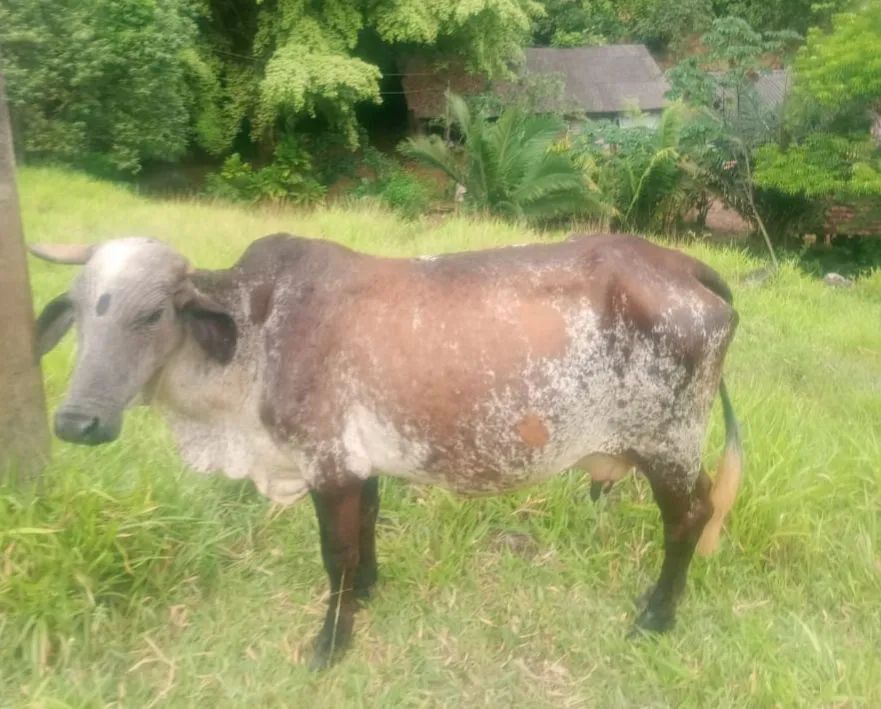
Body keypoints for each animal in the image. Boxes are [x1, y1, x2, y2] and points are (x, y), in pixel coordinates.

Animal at [31, 233, 742, 669]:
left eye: (153, 314)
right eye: (79, 311)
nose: (76, 420)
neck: (256, 335)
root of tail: (682, 265)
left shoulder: (327, 464)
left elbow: (336, 554)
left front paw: (330, 641)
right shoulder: (359, 464)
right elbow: (365, 532)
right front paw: (366, 595)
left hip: (668, 442)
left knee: (690, 517)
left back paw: (656, 616)